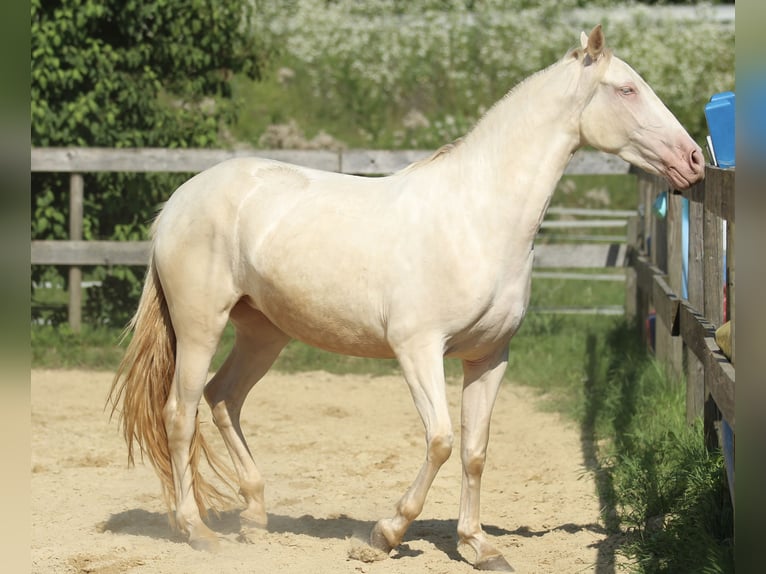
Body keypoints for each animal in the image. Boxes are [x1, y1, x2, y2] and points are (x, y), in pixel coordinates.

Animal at [111, 25, 704, 572]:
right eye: (627, 89)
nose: (694, 159)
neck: (477, 217)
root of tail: (179, 200)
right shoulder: (417, 349)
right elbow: (441, 440)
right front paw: (384, 535)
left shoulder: (489, 358)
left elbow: (475, 450)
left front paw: (479, 546)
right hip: (200, 326)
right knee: (180, 413)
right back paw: (197, 531)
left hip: (263, 332)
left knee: (223, 399)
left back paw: (255, 518)